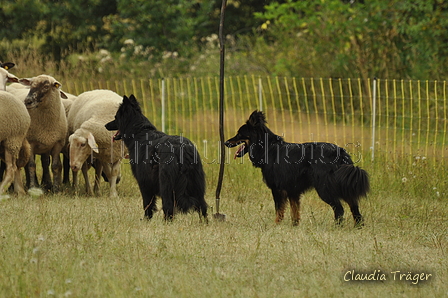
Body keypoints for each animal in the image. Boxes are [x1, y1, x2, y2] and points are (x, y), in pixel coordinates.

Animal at [105, 93, 208, 221]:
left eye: (116, 117)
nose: (105, 125)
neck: (139, 132)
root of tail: (183, 149)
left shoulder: (144, 182)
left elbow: (147, 204)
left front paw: (146, 219)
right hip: (197, 186)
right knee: (202, 206)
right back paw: (204, 223)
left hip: (166, 184)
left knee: (168, 206)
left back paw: (166, 223)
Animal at [226, 110, 370, 227]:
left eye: (239, 134)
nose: (225, 142)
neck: (268, 149)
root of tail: (340, 152)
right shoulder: (292, 190)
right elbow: (294, 211)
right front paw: (294, 225)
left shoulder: (278, 189)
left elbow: (279, 209)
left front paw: (276, 224)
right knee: (354, 206)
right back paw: (358, 226)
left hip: (324, 188)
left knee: (339, 209)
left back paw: (337, 227)